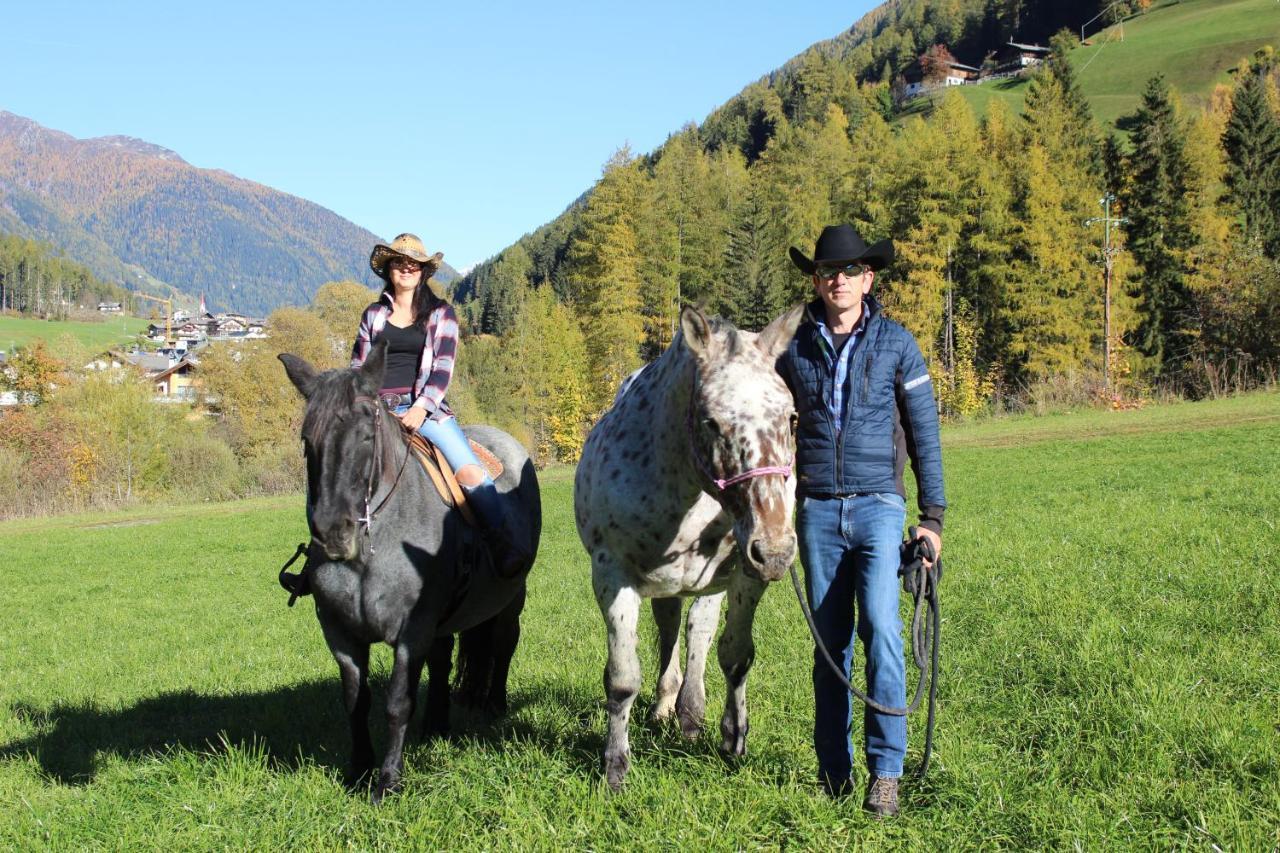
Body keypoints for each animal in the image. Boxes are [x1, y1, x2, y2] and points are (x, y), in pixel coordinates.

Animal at [280, 343, 540, 799]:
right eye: (308, 440)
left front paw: (387, 780)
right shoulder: (340, 632)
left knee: (504, 643)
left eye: (367, 437)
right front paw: (358, 770)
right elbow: (356, 700)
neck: (371, 550)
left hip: (510, 599)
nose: (332, 532)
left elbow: (397, 702)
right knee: (442, 658)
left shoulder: (411, 630)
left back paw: (494, 705)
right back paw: (436, 724)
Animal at [578, 302, 798, 788]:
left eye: (792, 418)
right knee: (668, 630)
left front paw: (733, 739)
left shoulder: (744, 576)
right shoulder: (613, 576)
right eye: (711, 421)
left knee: (697, 631)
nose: (775, 552)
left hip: (709, 583)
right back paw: (667, 706)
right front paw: (615, 766)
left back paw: (690, 714)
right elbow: (622, 679)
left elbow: (735, 657)